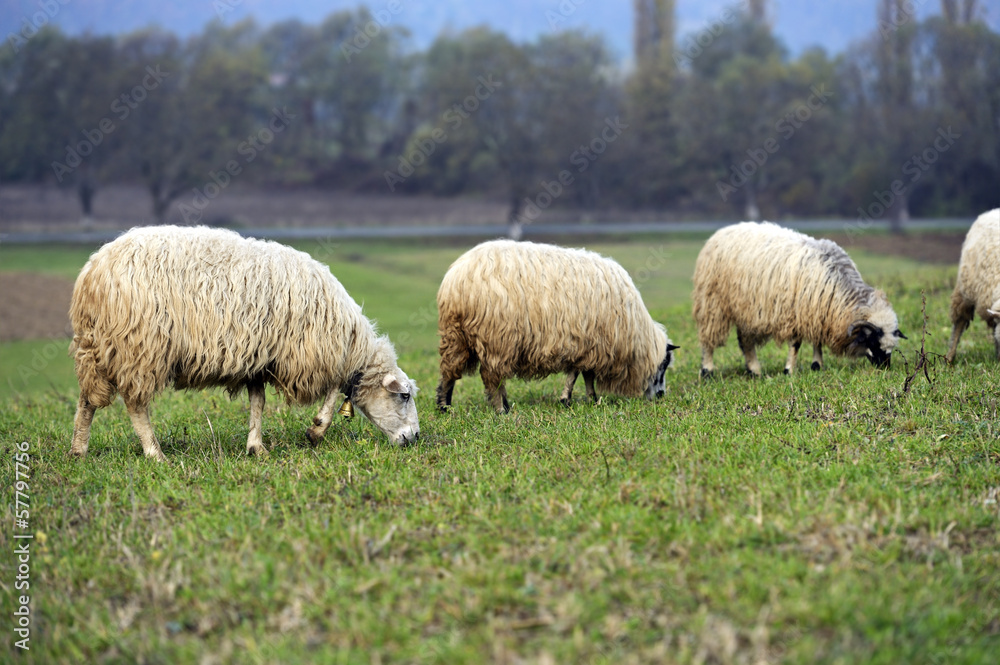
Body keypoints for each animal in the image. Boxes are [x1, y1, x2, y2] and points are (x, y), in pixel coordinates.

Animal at [68, 225, 419, 462]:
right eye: (404, 396)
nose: (415, 438)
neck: (350, 340)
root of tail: (92, 272)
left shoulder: (259, 357)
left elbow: (258, 403)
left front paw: (256, 447)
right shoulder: (308, 353)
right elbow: (334, 389)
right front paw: (316, 430)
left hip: (97, 348)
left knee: (87, 400)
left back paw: (78, 450)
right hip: (141, 347)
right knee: (136, 405)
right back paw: (154, 453)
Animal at [435, 239, 678, 413]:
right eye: (664, 365)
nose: (661, 396)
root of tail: (456, 279)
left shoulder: (586, 344)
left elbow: (583, 375)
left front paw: (587, 399)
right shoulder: (591, 344)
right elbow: (578, 374)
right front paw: (573, 399)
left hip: (455, 335)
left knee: (449, 371)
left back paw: (444, 406)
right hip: (497, 337)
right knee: (491, 375)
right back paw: (501, 408)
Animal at [692, 221, 906, 377]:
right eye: (874, 342)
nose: (885, 369)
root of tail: (723, 230)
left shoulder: (817, 312)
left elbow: (817, 340)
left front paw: (817, 365)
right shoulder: (796, 313)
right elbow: (795, 344)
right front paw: (789, 370)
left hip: (746, 308)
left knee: (745, 341)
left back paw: (754, 370)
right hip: (712, 301)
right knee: (708, 339)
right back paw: (707, 371)